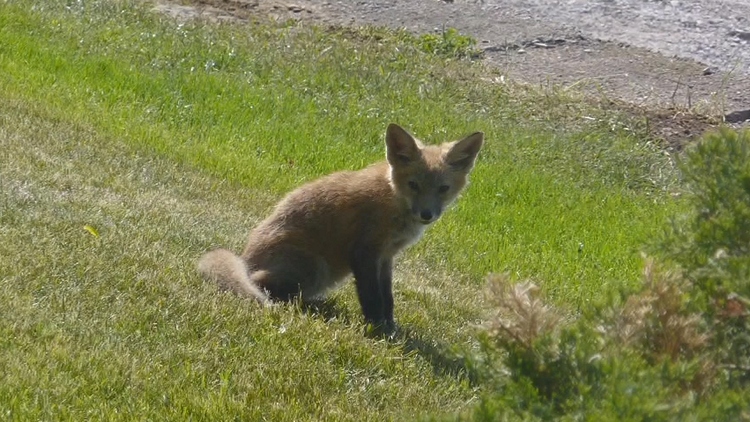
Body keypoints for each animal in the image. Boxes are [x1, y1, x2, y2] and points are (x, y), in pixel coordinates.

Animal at [197, 123, 484, 332]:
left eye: (443, 189)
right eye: (414, 185)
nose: (427, 214)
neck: (392, 202)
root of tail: (245, 259)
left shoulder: (386, 256)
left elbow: (388, 297)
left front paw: (390, 326)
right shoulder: (364, 252)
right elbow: (372, 296)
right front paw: (376, 329)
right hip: (316, 268)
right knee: (260, 284)